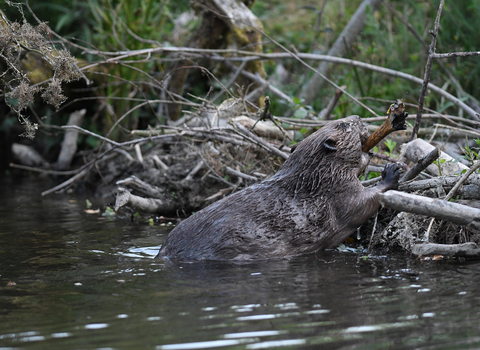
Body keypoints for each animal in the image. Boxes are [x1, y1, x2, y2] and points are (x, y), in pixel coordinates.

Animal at [158, 115, 402, 260]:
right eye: (344, 125)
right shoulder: (337, 189)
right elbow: (361, 205)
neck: (313, 175)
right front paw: (391, 171)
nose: (358, 117)